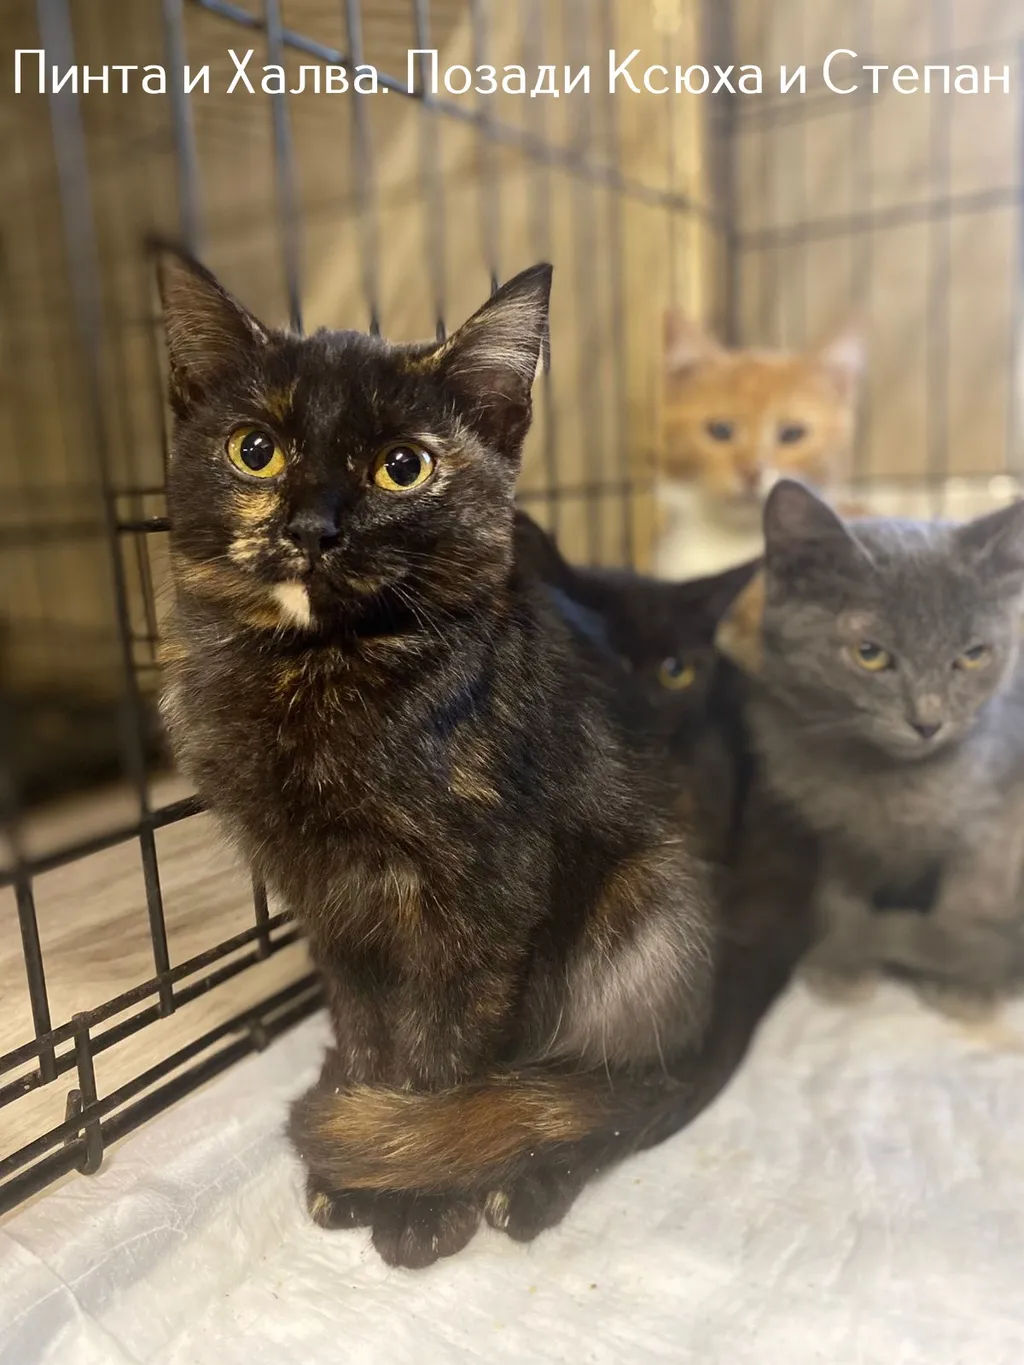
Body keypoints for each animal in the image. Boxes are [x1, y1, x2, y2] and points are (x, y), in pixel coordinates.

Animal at [155, 247, 730, 1269]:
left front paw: (417, 1195)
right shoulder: (330, 904)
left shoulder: (481, 901)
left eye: (403, 467)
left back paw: (525, 1181)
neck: (322, 676)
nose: (313, 527)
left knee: (614, 1094)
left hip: (648, 916)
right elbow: (369, 1029)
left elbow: (446, 1052)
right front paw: (358, 1164)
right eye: (254, 450)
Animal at [739, 478, 1024, 1016]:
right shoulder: (833, 827)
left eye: (974, 655)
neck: (885, 780)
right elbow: (837, 898)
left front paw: (965, 981)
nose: (928, 722)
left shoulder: (999, 819)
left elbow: (972, 898)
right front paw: (842, 960)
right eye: (869, 654)